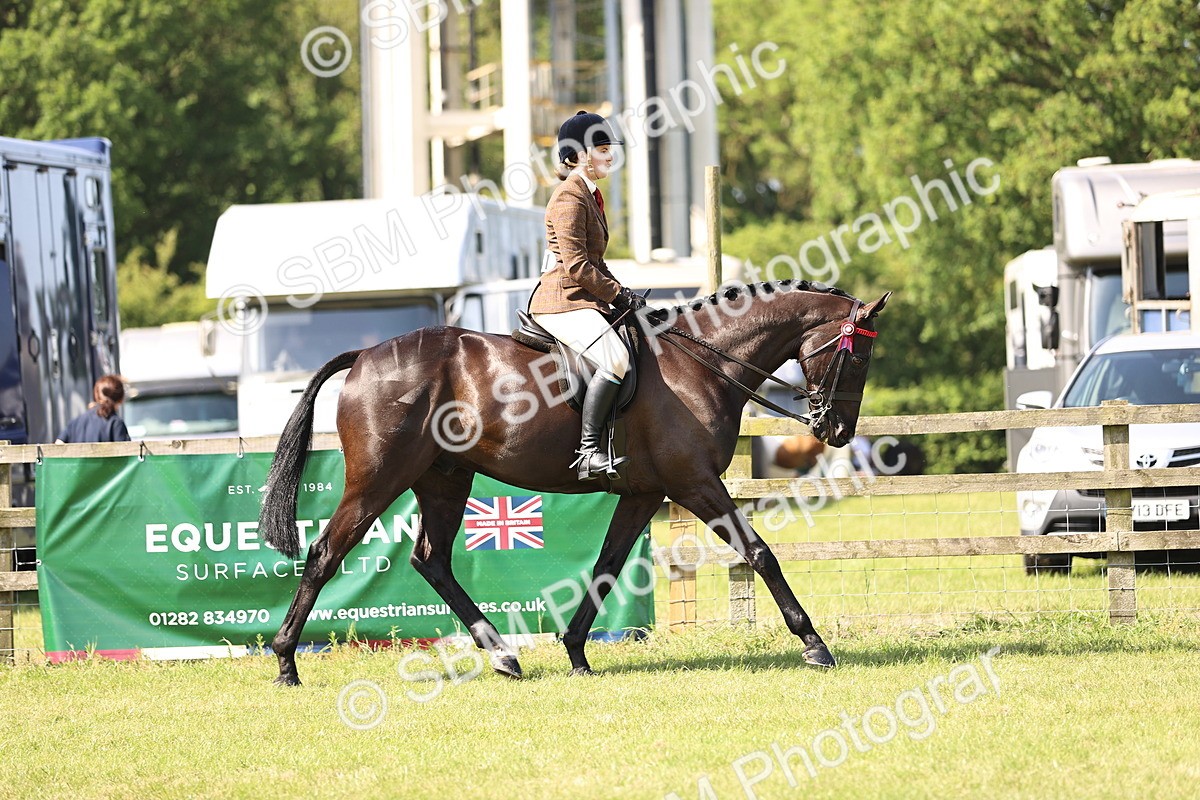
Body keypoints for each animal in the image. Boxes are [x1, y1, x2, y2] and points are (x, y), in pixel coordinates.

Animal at [259, 280, 890, 686]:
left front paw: (577, 652)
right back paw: (286, 663)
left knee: (431, 560)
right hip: (379, 480)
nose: (836, 431)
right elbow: (760, 553)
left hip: (445, 479)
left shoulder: (644, 493)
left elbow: (608, 566)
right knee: (326, 553)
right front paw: (815, 645)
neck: (699, 366)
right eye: (858, 360)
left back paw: (504, 656)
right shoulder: (695, 483)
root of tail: (365, 354)